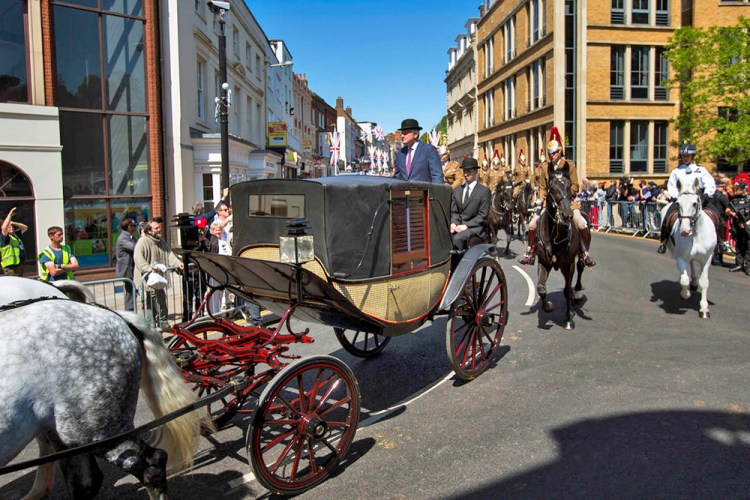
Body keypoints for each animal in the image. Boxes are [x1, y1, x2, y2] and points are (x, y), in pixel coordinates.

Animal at [536, 174, 592, 330]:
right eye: (552, 188)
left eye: (568, 187)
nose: (567, 214)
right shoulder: (543, 262)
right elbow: (541, 288)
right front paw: (548, 306)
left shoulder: (568, 265)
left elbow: (567, 290)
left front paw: (568, 319)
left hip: (580, 254)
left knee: (580, 267)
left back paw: (577, 294)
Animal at [664, 177, 716, 316]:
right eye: (678, 203)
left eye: (694, 203)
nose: (684, 230)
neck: (696, 234)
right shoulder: (680, 257)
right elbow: (684, 280)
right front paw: (685, 293)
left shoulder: (707, 258)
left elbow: (704, 282)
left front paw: (704, 308)